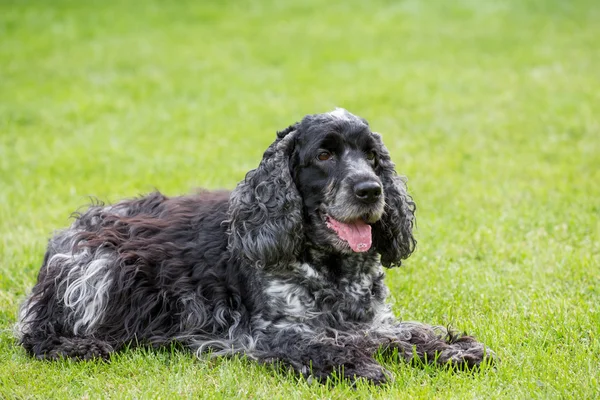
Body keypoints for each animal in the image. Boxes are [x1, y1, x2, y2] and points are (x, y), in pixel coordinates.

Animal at [16, 109, 494, 384]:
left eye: (372, 156)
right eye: (324, 155)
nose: (370, 189)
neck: (332, 270)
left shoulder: (374, 319)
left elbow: (409, 332)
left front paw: (452, 348)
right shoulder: (269, 333)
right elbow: (323, 345)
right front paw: (360, 365)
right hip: (106, 271)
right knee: (36, 333)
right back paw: (84, 347)